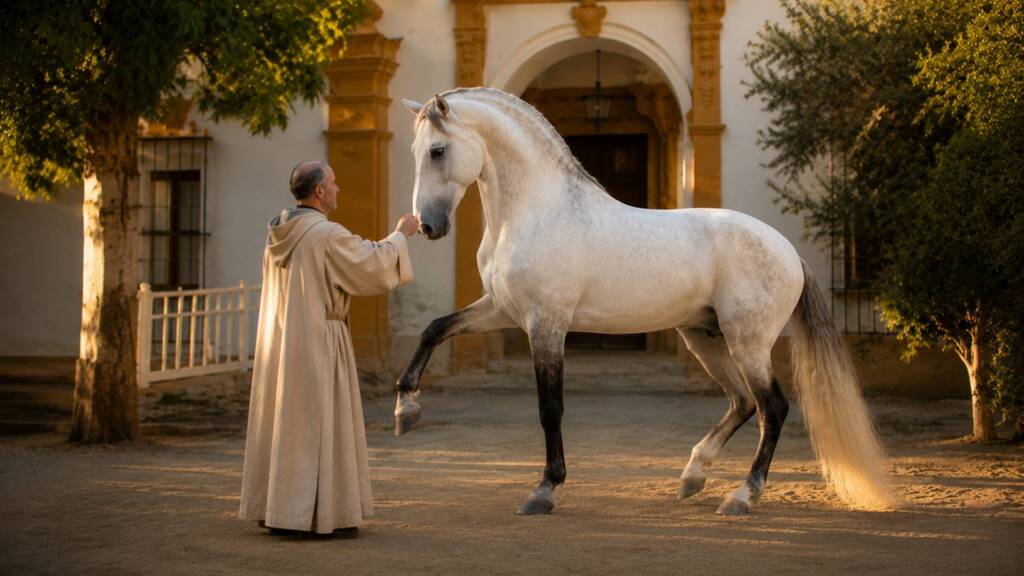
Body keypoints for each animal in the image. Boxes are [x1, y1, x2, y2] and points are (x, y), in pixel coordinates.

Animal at [393, 87, 893, 516]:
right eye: (414, 153)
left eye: (437, 151)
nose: (428, 226)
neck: (538, 211)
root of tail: (788, 250)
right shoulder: (502, 310)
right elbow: (434, 328)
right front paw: (405, 410)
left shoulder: (547, 324)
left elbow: (550, 408)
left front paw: (544, 490)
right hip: (703, 337)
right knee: (742, 402)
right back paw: (692, 477)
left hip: (747, 341)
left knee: (772, 407)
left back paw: (741, 496)